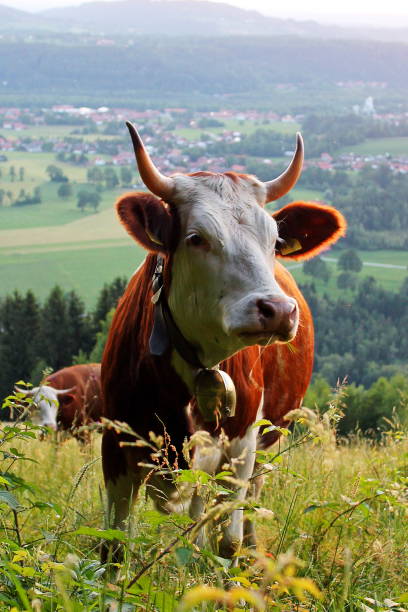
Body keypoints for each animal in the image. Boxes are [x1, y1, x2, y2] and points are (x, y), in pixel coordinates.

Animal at [100, 122, 346, 560]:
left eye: (275, 241)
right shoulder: (116, 446)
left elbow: (226, 537)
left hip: (265, 440)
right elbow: (115, 545)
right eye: (197, 238)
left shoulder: (240, 443)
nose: (277, 310)